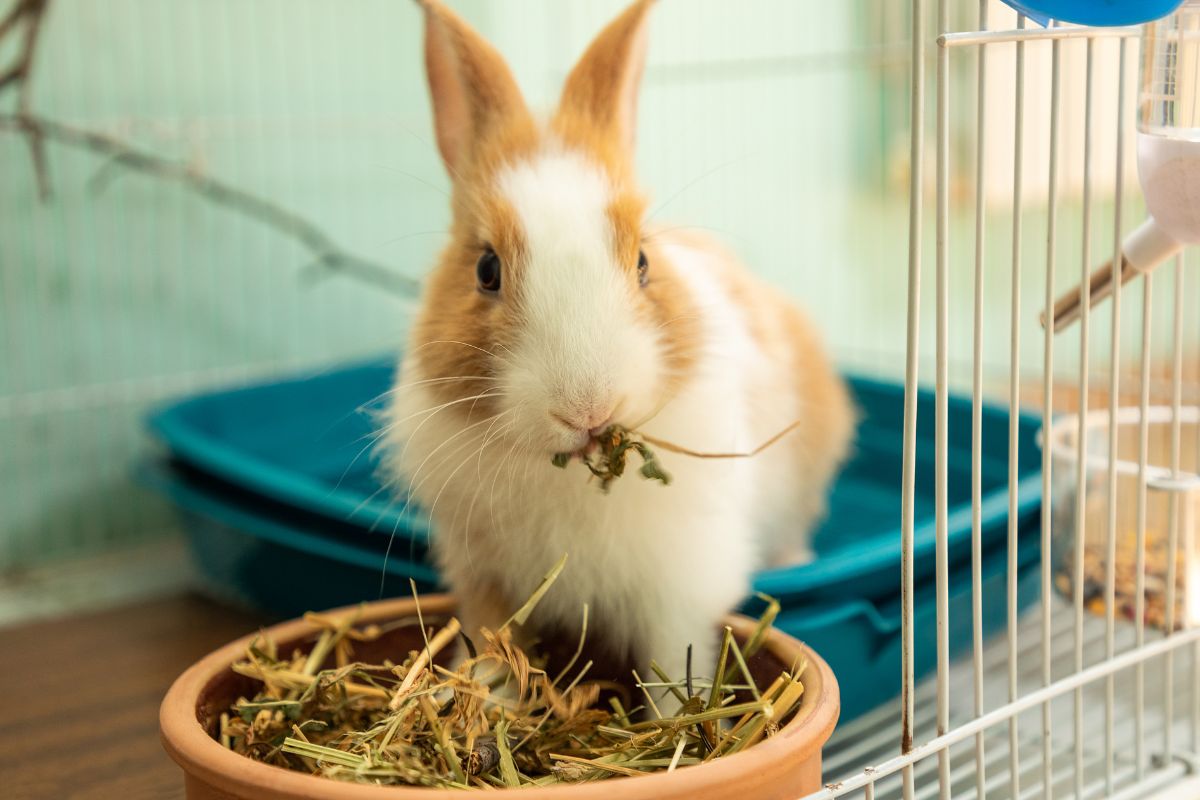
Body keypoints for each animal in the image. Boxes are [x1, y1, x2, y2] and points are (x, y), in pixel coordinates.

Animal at [381, 0, 854, 686]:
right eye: (486, 270)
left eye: (643, 262)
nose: (588, 409)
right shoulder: (487, 583)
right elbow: (497, 658)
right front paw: (488, 702)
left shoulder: (677, 592)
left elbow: (673, 673)